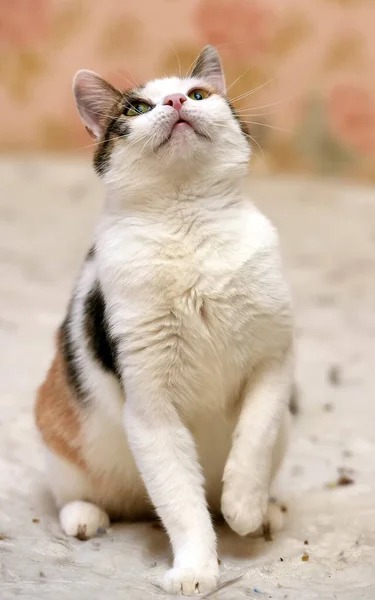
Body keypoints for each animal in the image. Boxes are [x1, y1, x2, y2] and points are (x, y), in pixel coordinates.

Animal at [34, 45, 294, 596]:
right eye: (135, 108)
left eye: (197, 94)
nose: (175, 102)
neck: (187, 222)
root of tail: (136, 508)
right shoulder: (150, 406)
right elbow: (181, 502)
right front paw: (196, 570)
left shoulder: (275, 359)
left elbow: (255, 437)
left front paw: (244, 505)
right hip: (57, 433)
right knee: (87, 495)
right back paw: (85, 516)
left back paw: (265, 511)